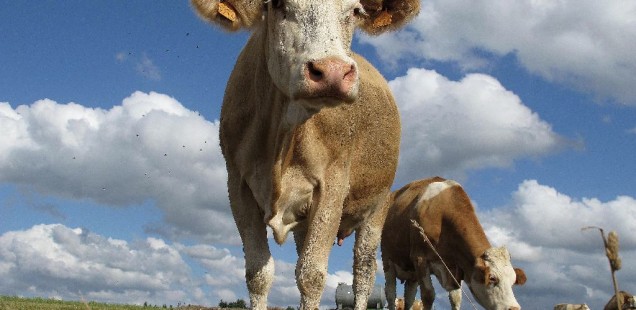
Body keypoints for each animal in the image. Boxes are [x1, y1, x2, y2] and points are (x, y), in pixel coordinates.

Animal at [191, 1, 420, 308]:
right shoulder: (237, 185)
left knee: (364, 274)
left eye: (356, 11)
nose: (333, 71)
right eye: (277, 5)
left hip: (378, 206)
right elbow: (258, 273)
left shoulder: (333, 186)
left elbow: (312, 275)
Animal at [382, 177, 528, 310]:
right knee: (390, 294)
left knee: (409, 297)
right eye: (492, 278)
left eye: (513, 281)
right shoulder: (419, 258)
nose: (514, 308)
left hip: (412, 273)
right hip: (387, 260)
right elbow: (428, 296)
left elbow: (456, 298)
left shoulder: (455, 268)